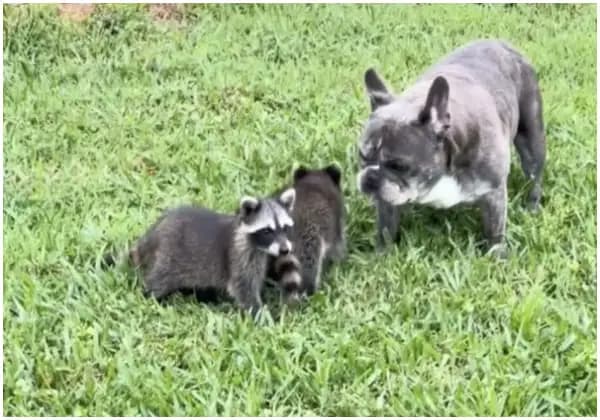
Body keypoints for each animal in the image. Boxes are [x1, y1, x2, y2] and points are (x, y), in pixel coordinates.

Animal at [106, 189, 298, 316]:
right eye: (267, 231)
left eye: (285, 228)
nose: (285, 250)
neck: (258, 246)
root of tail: (151, 234)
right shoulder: (239, 256)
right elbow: (243, 288)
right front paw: (261, 315)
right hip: (167, 257)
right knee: (158, 281)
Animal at [358, 40, 548, 256]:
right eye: (361, 155)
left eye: (399, 166)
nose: (370, 177)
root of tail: (502, 43)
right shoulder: (387, 201)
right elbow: (386, 229)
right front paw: (382, 255)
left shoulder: (494, 191)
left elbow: (495, 231)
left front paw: (496, 255)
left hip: (531, 139)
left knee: (534, 176)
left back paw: (532, 206)